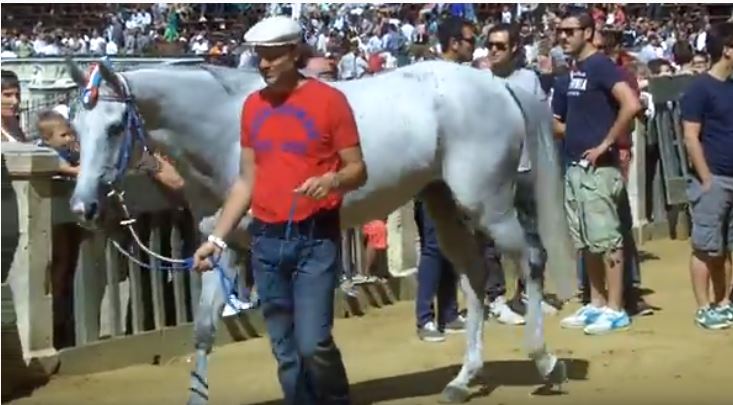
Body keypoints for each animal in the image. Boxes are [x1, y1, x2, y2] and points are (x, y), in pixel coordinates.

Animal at [65, 59, 575, 404]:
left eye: (115, 126)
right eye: (74, 126)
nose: (83, 206)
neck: (225, 129)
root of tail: (498, 83)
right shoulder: (223, 246)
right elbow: (207, 332)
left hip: (488, 204)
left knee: (532, 258)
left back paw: (547, 363)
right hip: (443, 203)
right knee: (472, 274)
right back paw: (462, 380)